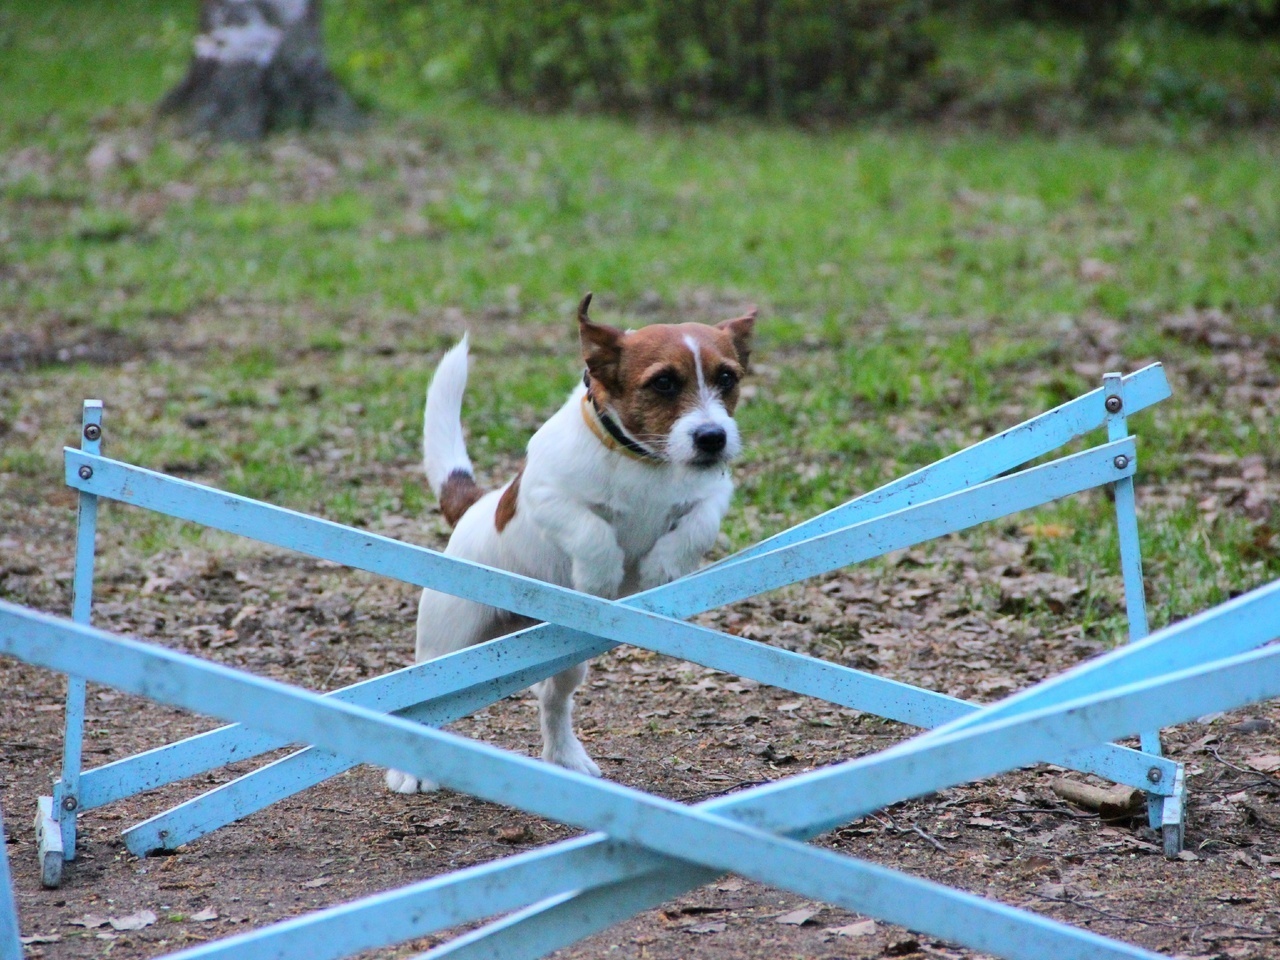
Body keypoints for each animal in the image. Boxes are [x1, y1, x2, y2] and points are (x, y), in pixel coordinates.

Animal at [384, 295, 752, 798]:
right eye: (663, 382)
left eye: (727, 377)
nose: (713, 438)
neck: (643, 461)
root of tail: (476, 506)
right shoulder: (545, 494)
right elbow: (591, 531)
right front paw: (599, 578)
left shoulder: (714, 492)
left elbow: (698, 524)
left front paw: (662, 568)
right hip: (445, 646)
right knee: (419, 703)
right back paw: (410, 771)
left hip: (567, 656)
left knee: (552, 702)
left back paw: (566, 756)